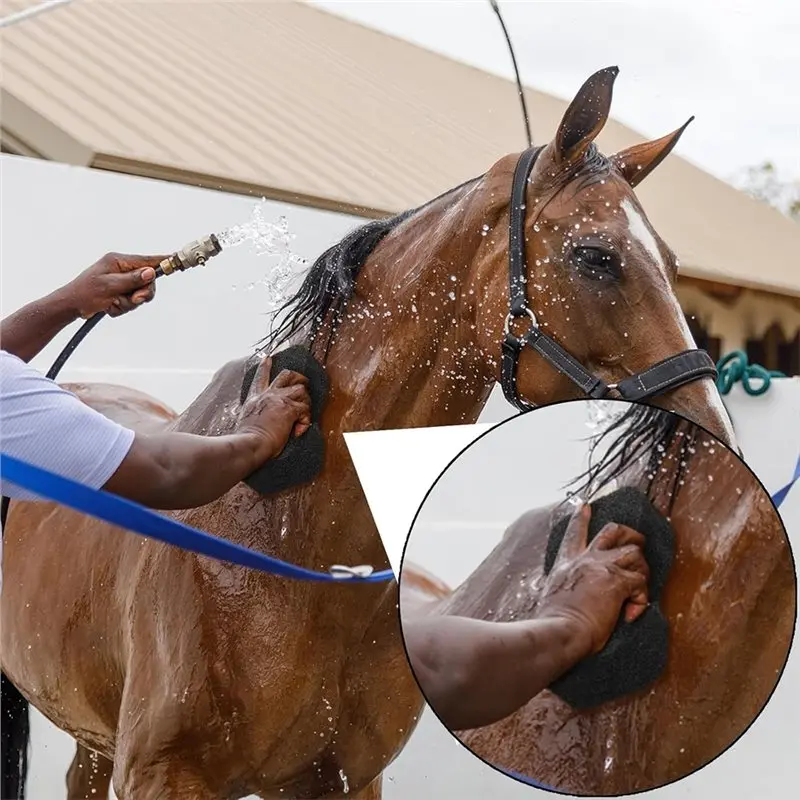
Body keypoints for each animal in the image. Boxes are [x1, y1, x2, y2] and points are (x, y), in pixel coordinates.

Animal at [1, 66, 737, 799]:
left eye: (672, 266)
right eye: (595, 256)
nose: (712, 428)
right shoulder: (164, 776)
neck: (289, 543)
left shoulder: (345, 780)